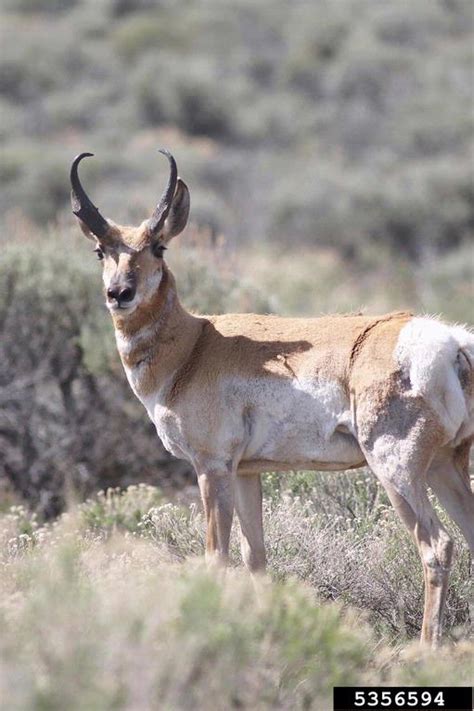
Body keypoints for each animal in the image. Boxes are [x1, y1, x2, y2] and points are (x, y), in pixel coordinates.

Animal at [71, 149, 474, 644]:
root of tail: (451, 341)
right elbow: (255, 559)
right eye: (100, 250)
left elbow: (217, 557)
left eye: (158, 247)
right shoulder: (247, 473)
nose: (119, 293)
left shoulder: (212, 468)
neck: (195, 344)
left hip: (397, 470)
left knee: (437, 546)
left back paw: (426, 649)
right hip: (445, 465)